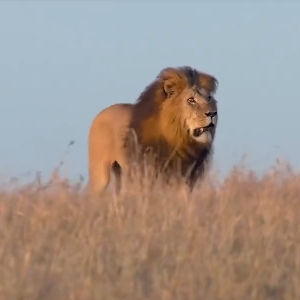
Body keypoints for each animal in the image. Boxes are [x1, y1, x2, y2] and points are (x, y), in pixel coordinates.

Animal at [88, 66, 219, 197]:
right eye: (191, 100)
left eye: (209, 98)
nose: (213, 113)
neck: (179, 139)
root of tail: (99, 114)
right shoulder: (149, 173)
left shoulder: (186, 176)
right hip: (100, 174)